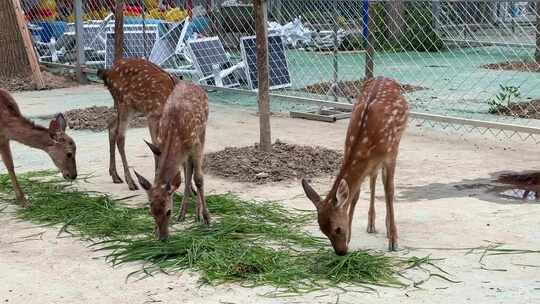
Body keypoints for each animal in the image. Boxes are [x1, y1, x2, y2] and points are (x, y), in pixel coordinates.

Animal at [97, 58, 179, 190]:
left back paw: (115, 176)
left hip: (133, 107)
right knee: (120, 137)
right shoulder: (152, 115)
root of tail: (107, 73)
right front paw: (157, 179)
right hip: (124, 103)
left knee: (112, 126)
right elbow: (156, 146)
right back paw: (130, 182)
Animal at [134, 80, 210, 240]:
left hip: (202, 131)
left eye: (168, 211)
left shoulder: (195, 144)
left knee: (194, 173)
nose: (163, 237)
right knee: (187, 172)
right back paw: (183, 214)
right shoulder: (160, 146)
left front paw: (207, 218)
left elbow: (199, 178)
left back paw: (198, 214)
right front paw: (154, 230)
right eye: (151, 211)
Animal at [300, 76, 410, 254]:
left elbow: (389, 191)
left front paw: (393, 241)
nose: (340, 252)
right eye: (323, 231)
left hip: (397, 140)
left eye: (337, 229)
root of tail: (384, 77)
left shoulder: (391, 154)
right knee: (373, 179)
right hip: (375, 163)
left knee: (384, 185)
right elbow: (356, 195)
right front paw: (351, 236)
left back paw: (387, 228)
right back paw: (371, 224)